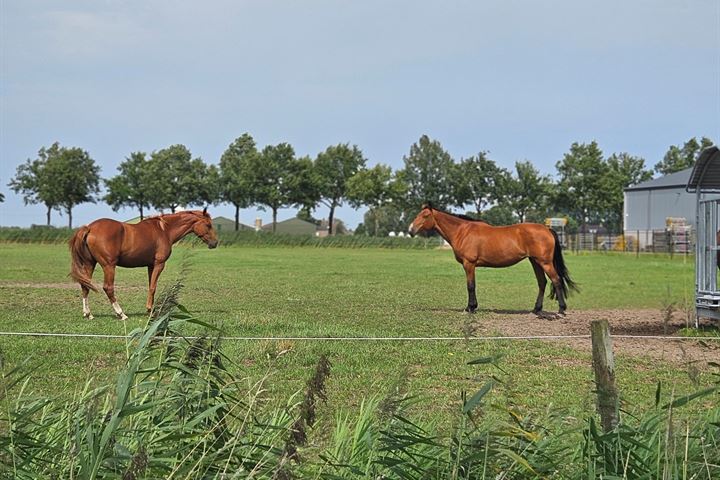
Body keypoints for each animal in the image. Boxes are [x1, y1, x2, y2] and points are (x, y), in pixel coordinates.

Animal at [69, 209, 218, 318]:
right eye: (208, 225)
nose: (215, 243)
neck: (164, 230)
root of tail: (89, 228)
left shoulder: (150, 266)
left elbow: (151, 286)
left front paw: (150, 309)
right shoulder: (159, 264)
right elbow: (153, 287)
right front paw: (150, 311)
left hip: (90, 264)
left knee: (85, 286)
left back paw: (88, 314)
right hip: (108, 266)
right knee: (108, 288)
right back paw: (121, 314)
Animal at [408, 205, 576, 316]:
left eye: (425, 216)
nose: (410, 230)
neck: (462, 232)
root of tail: (547, 229)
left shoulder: (469, 264)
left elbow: (471, 286)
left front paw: (470, 308)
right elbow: (472, 286)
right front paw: (473, 306)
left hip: (545, 262)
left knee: (556, 280)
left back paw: (561, 309)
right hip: (535, 262)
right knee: (542, 283)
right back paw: (536, 309)